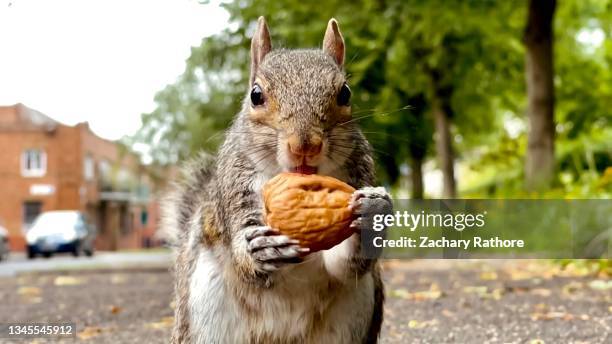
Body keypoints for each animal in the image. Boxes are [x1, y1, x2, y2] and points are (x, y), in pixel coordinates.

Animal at [163, 16, 392, 344]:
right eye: (256, 95)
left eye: (345, 93)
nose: (305, 145)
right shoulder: (235, 189)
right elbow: (246, 259)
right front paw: (258, 250)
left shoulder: (359, 173)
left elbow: (345, 265)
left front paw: (372, 214)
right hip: (205, 315)